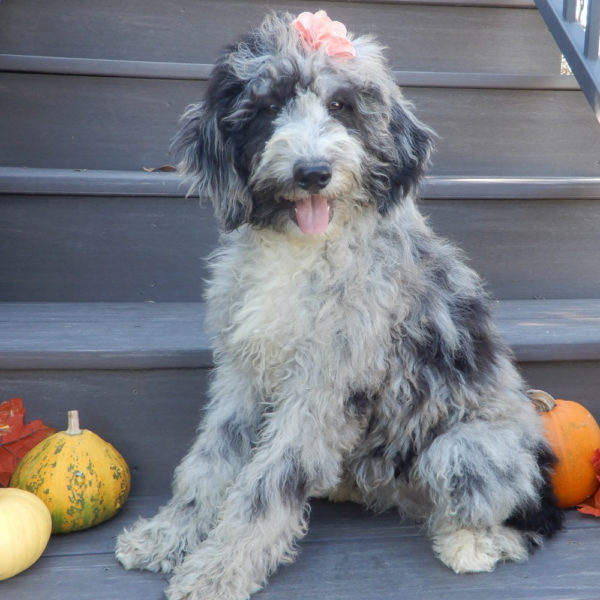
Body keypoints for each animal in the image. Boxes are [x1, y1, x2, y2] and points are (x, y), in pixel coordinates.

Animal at [115, 10, 564, 600]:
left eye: (341, 106)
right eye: (268, 106)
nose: (312, 172)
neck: (302, 250)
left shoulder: (325, 383)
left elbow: (267, 485)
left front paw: (220, 569)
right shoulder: (241, 372)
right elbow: (211, 460)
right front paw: (168, 537)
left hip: (470, 448)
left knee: (521, 516)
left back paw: (470, 543)